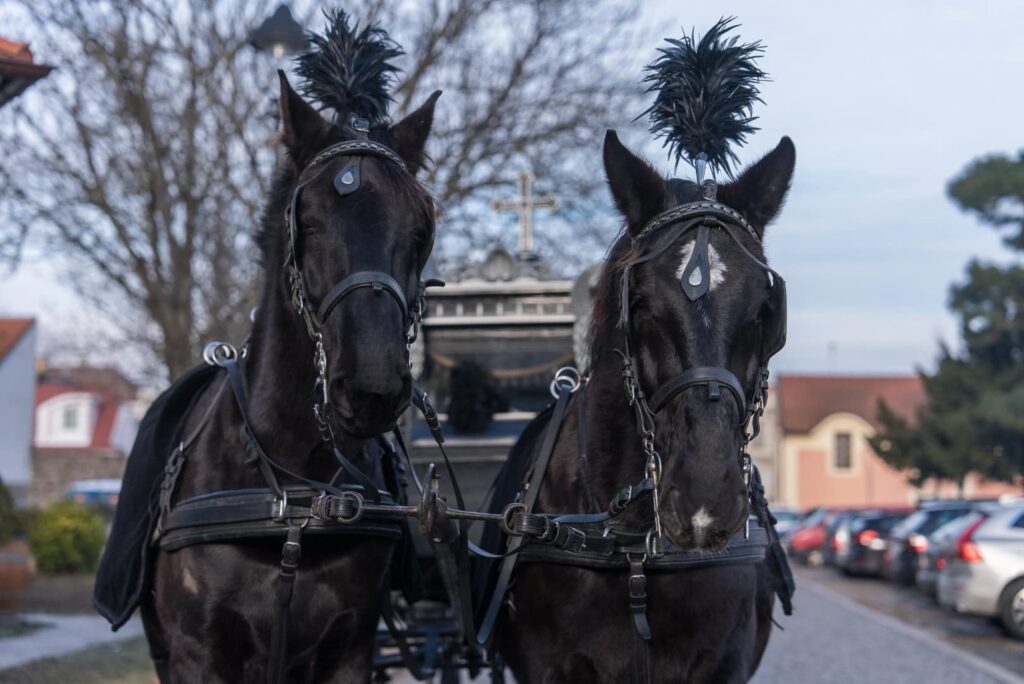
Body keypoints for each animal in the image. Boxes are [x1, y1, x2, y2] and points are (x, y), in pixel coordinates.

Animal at [130, 21, 442, 684]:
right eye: (311, 222)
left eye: (421, 228)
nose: (373, 384)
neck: (294, 501)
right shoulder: (198, 655)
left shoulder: (350, 650)